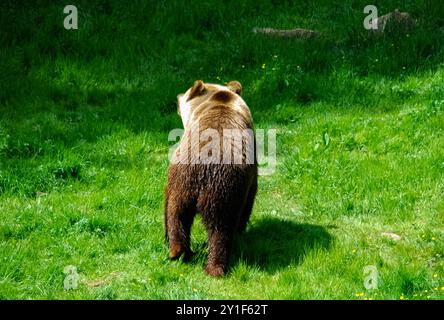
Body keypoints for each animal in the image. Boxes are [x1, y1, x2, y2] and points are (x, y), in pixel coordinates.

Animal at [165, 80, 258, 278]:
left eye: (184, 94)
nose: (177, 96)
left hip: (197, 183)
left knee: (179, 214)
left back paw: (183, 253)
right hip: (216, 187)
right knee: (216, 226)